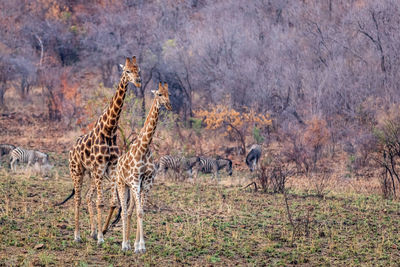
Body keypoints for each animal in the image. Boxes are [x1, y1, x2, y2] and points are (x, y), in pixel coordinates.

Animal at [66, 56, 141, 245]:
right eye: (127, 71)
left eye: (138, 70)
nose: (138, 81)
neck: (109, 130)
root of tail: (71, 150)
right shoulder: (100, 168)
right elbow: (101, 202)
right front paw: (100, 237)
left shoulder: (111, 168)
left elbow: (113, 202)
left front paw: (103, 231)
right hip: (77, 171)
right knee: (78, 198)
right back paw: (77, 235)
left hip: (92, 174)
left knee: (87, 196)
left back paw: (92, 231)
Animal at [115, 81, 173, 253]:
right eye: (159, 94)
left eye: (169, 94)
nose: (169, 105)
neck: (145, 148)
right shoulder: (134, 181)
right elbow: (139, 212)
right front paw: (138, 246)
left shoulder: (146, 182)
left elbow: (141, 212)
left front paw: (139, 246)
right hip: (122, 184)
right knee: (123, 211)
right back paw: (124, 244)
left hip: (133, 187)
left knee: (129, 211)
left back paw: (129, 243)